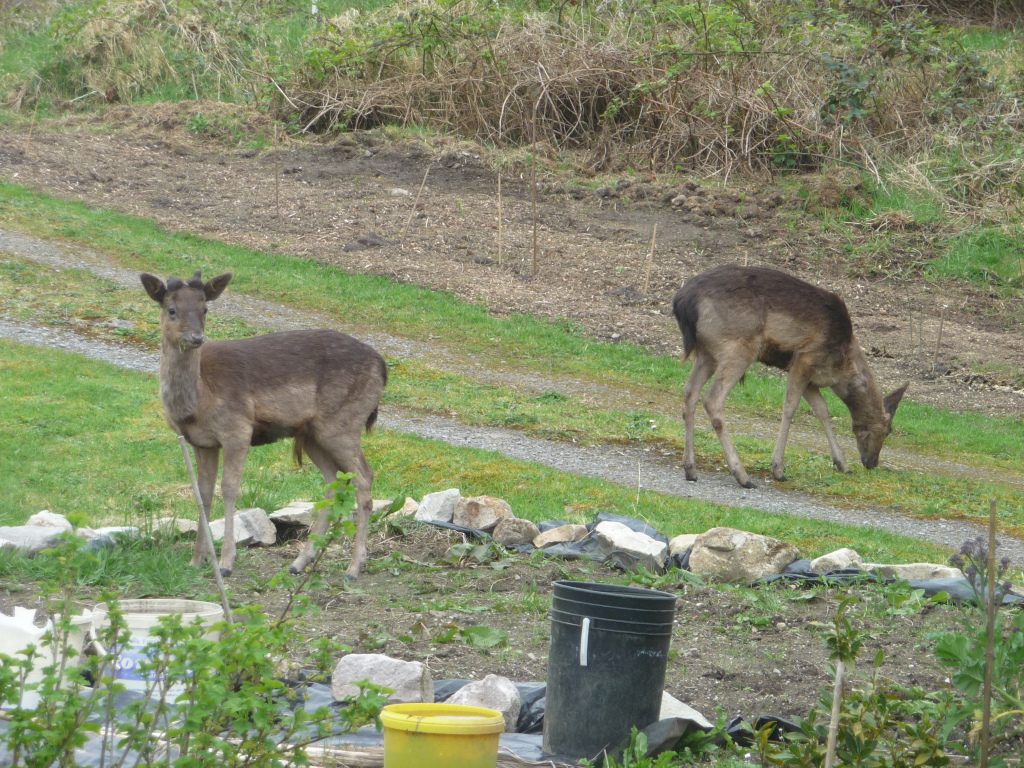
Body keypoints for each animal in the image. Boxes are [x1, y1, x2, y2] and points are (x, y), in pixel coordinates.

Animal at [140, 270, 387, 577]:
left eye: (205, 308)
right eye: (171, 309)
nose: (197, 337)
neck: (197, 404)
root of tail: (383, 367)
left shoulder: (237, 428)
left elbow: (229, 489)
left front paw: (226, 563)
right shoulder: (201, 442)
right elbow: (203, 494)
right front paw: (197, 559)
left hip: (343, 421)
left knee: (364, 477)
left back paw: (354, 567)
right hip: (312, 434)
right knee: (333, 482)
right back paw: (299, 563)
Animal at [675, 268, 909, 489]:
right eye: (888, 430)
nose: (872, 463)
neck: (841, 367)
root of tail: (683, 301)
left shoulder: (811, 379)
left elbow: (822, 410)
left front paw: (843, 464)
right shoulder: (805, 358)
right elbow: (790, 407)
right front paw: (778, 468)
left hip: (707, 353)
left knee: (690, 392)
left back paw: (690, 469)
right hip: (739, 346)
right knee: (713, 399)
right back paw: (742, 476)